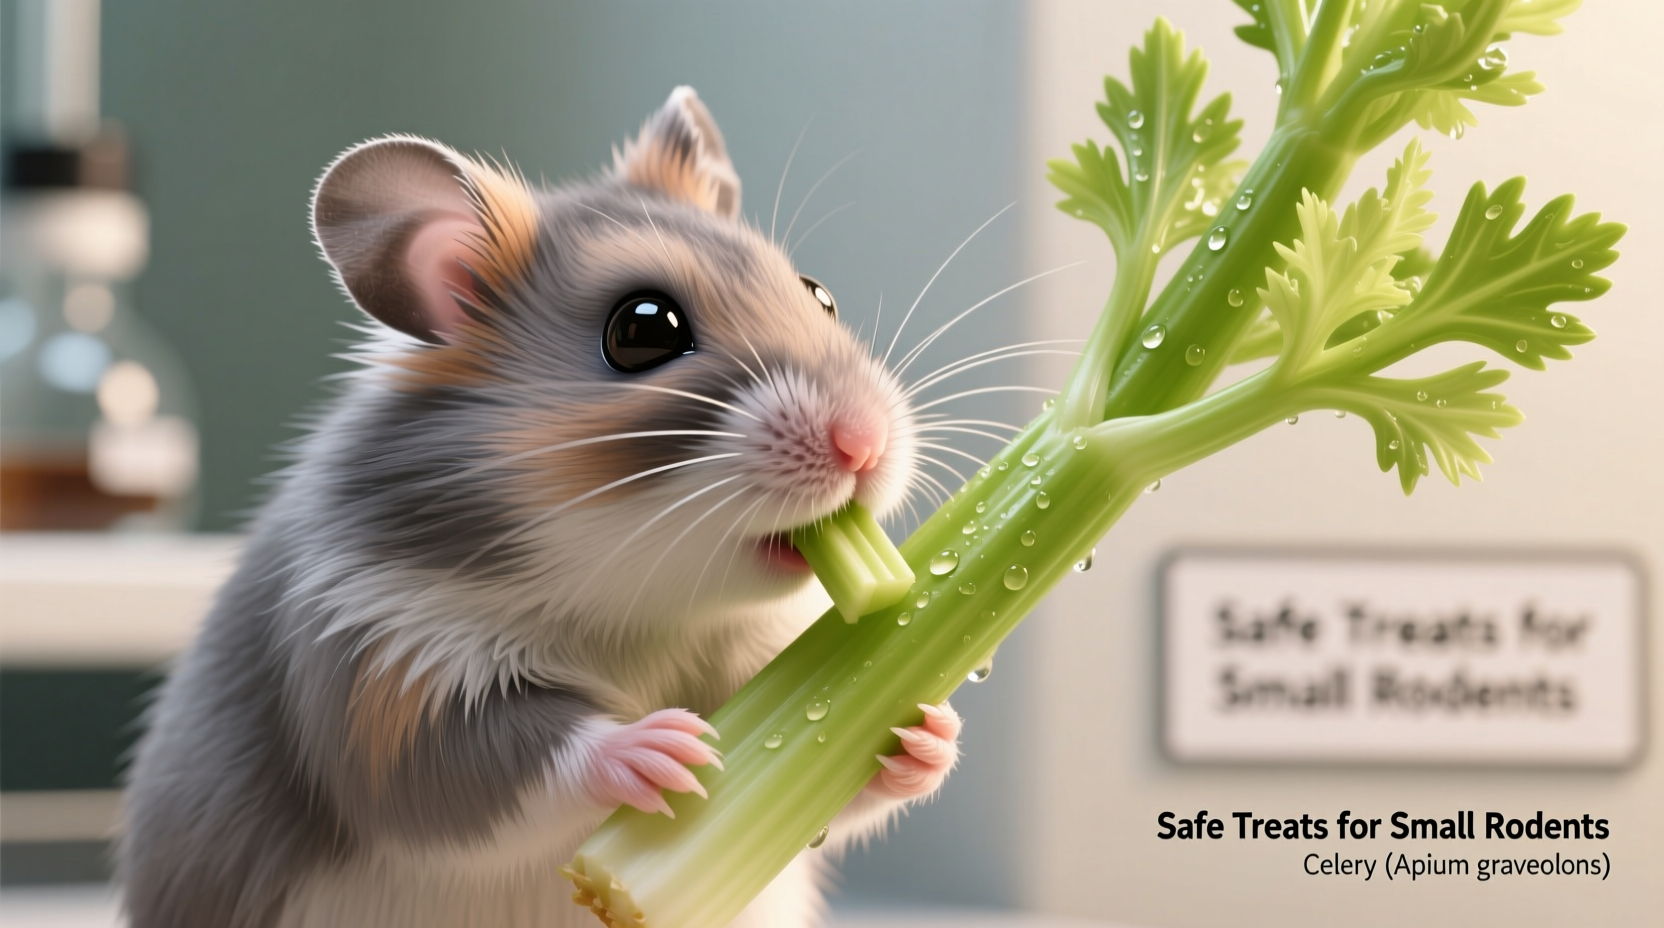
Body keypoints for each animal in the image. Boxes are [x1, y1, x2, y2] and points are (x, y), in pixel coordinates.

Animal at [118, 87, 961, 928]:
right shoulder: (380, 672)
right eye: (643, 328)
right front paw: (665, 750)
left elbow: (846, 795)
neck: (640, 607)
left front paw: (930, 733)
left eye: (818, 294)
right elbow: (485, 764)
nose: (864, 445)